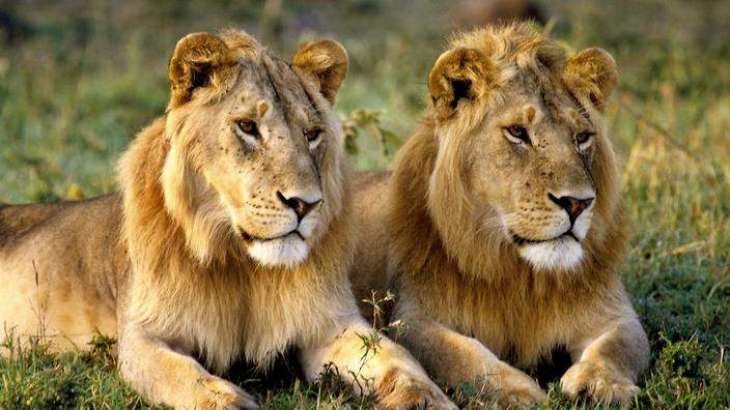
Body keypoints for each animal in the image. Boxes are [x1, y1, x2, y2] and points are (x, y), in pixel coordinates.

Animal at [0, 30, 457, 409]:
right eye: (247, 127)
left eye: (312, 134)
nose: (305, 204)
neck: (242, 264)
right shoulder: (143, 336)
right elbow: (188, 379)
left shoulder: (330, 324)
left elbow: (401, 362)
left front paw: (429, 399)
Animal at [350, 23, 649, 406]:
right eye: (518, 132)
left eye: (582, 137)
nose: (577, 203)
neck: (520, 272)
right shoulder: (414, 319)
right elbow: (464, 354)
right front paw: (520, 392)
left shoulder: (613, 312)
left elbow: (618, 345)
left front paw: (603, 384)